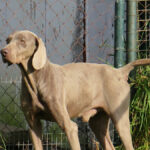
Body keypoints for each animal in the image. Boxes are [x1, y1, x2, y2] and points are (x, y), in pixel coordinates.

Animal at [0, 29, 149, 149]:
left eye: (22, 41)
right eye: (8, 40)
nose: (3, 52)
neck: (35, 81)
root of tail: (120, 71)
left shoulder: (69, 127)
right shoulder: (33, 126)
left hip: (120, 118)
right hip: (98, 121)